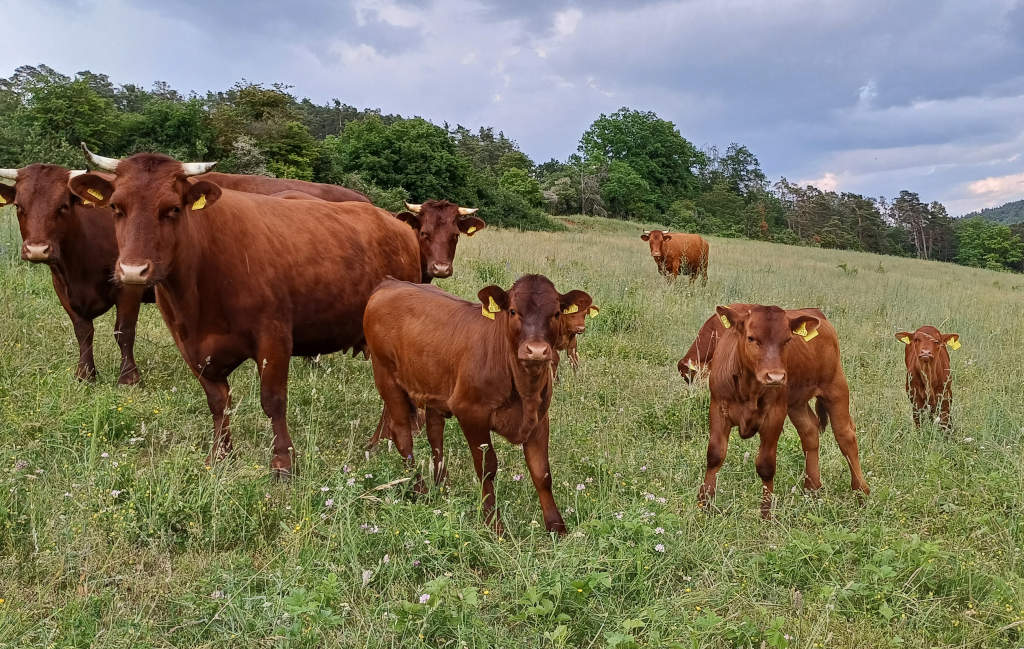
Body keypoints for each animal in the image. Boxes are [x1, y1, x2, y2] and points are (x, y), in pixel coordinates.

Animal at [0, 163, 153, 380]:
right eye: (18, 206)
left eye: (62, 206)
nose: (37, 250)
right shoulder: (61, 286)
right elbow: (83, 331)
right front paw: (85, 374)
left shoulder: (130, 283)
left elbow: (124, 331)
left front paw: (129, 377)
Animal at [70, 144, 419, 472]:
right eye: (116, 207)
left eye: (172, 208)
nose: (133, 270)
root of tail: (393, 223)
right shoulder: (191, 345)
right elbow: (218, 402)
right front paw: (220, 456)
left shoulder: (274, 338)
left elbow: (273, 400)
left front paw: (282, 462)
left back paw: (379, 442)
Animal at [366, 272, 593, 532]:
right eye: (513, 311)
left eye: (556, 313)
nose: (536, 351)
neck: (524, 390)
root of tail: (390, 282)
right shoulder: (471, 414)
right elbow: (487, 468)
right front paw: (493, 523)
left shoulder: (540, 418)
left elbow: (542, 472)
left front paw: (557, 527)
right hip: (386, 378)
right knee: (402, 434)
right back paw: (420, 489)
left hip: (433, 388)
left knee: (435, 434)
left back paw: (442, 486)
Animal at [700, 303, 868, 515]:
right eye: (751, 338)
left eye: (787, 339)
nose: (776, 377)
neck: (748, 388)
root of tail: (816, 312)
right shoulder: (718, 408)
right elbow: (714, 455)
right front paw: (704, 505)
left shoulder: (775, 414)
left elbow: (766, 465)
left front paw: (766, 514)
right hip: (797, 403)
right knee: (809, 432)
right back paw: (812, 488)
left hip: (836, 388)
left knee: (846, 437)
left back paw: (861, 493)